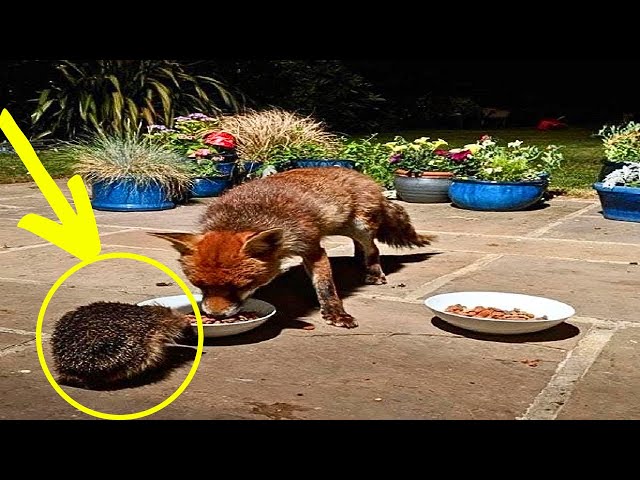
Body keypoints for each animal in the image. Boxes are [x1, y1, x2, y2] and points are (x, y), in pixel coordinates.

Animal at [151, 167, 434, 329]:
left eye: (240, 286)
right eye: (199, 286)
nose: (216, 317)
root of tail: (361, 174)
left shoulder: (312, 249)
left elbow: (325, 287)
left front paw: (336, 313)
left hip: (359, 225)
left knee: (372, 247)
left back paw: (373, 271)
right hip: (342, 226)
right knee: (363, 246)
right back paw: (358, 261)